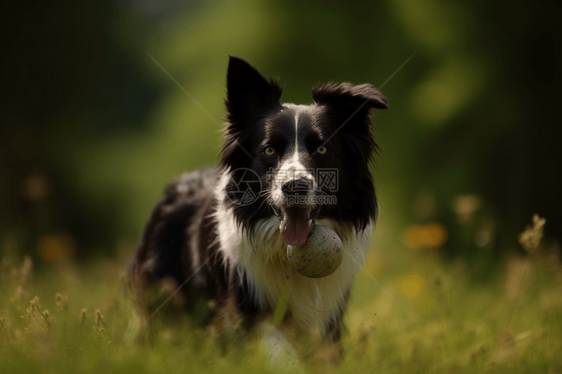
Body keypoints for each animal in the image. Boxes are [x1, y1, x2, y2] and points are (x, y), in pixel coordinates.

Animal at [127, 57, 384, 360]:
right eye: (269, 151)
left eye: (322, 149)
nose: (294, 186)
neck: (286, 255)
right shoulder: (244, 307)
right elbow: (277, 349)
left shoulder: (327, 317)